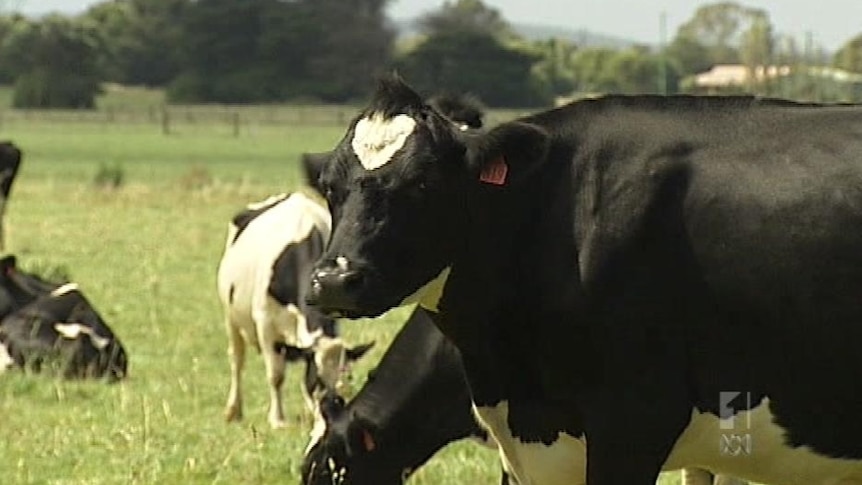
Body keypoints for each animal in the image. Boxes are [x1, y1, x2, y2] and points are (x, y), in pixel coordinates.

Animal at [216, 190, 374, 428]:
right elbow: (276, 375)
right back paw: (233, 411)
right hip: (231, 316)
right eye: (317, 381)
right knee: (237, 359)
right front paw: (278, 420)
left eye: (347, 380)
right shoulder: (265, 324)